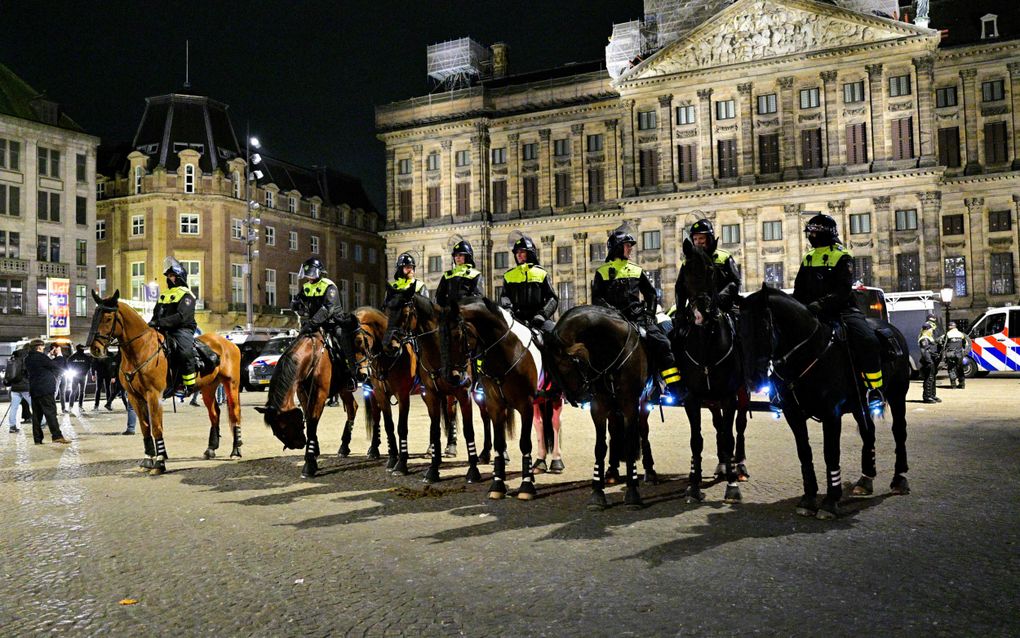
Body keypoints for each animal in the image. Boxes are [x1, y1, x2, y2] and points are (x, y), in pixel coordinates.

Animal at [87, 287, 242, 473]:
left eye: (108, 318)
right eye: (94, 316)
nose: (95, 349)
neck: (141, 350)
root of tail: (228, 342)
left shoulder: (154, 395)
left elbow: (156, 427)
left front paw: (160, 461)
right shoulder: (134, 397)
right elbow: (145, 427)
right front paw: (148, 458)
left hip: (231, 385)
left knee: (235, 414)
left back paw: (236, 451)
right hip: (208, 388)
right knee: (215, 414)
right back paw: (211, 448)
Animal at [444, 296, 546, 500]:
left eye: (458, 335)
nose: (453, 377)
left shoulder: (526, 405)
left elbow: (525, 444)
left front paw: (526, 487)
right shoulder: (495, 405)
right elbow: (499, 444)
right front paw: (497, 484)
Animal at [546, 304, 648, 508]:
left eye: (566, 367)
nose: (576, 398)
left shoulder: (630, 404)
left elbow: (630, 444)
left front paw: (632, 492)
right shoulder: (600, 406)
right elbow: (600, 447)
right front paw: (597, 492)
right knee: (615, 432)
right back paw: (612, 471)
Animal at [673, 240, 754, 504]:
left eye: (711, 270)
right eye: (686, 271)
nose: (701, 311)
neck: (706, 347)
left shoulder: (729, 397)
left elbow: (730, 437)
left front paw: (732, 485)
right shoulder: (692, 399)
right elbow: (696, 441)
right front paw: (694, 485)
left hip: (741, 393)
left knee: (738, 427)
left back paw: (739, 466)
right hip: (711, 401)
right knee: (719, 426)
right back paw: (722, 465)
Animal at [742, 285, 909, 520]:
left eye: (764, 325)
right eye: (739, 330)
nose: (752, 379)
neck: (806, 355)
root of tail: (892, 330)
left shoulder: (832, 413)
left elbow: (831, 453)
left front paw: (830, 502)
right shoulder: (793, 414)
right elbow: (804, 452)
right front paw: (809, 498)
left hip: (897, 395)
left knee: (899, 432)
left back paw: (899, 479)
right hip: (860, 405)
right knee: (868, 432)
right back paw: (866, 479)